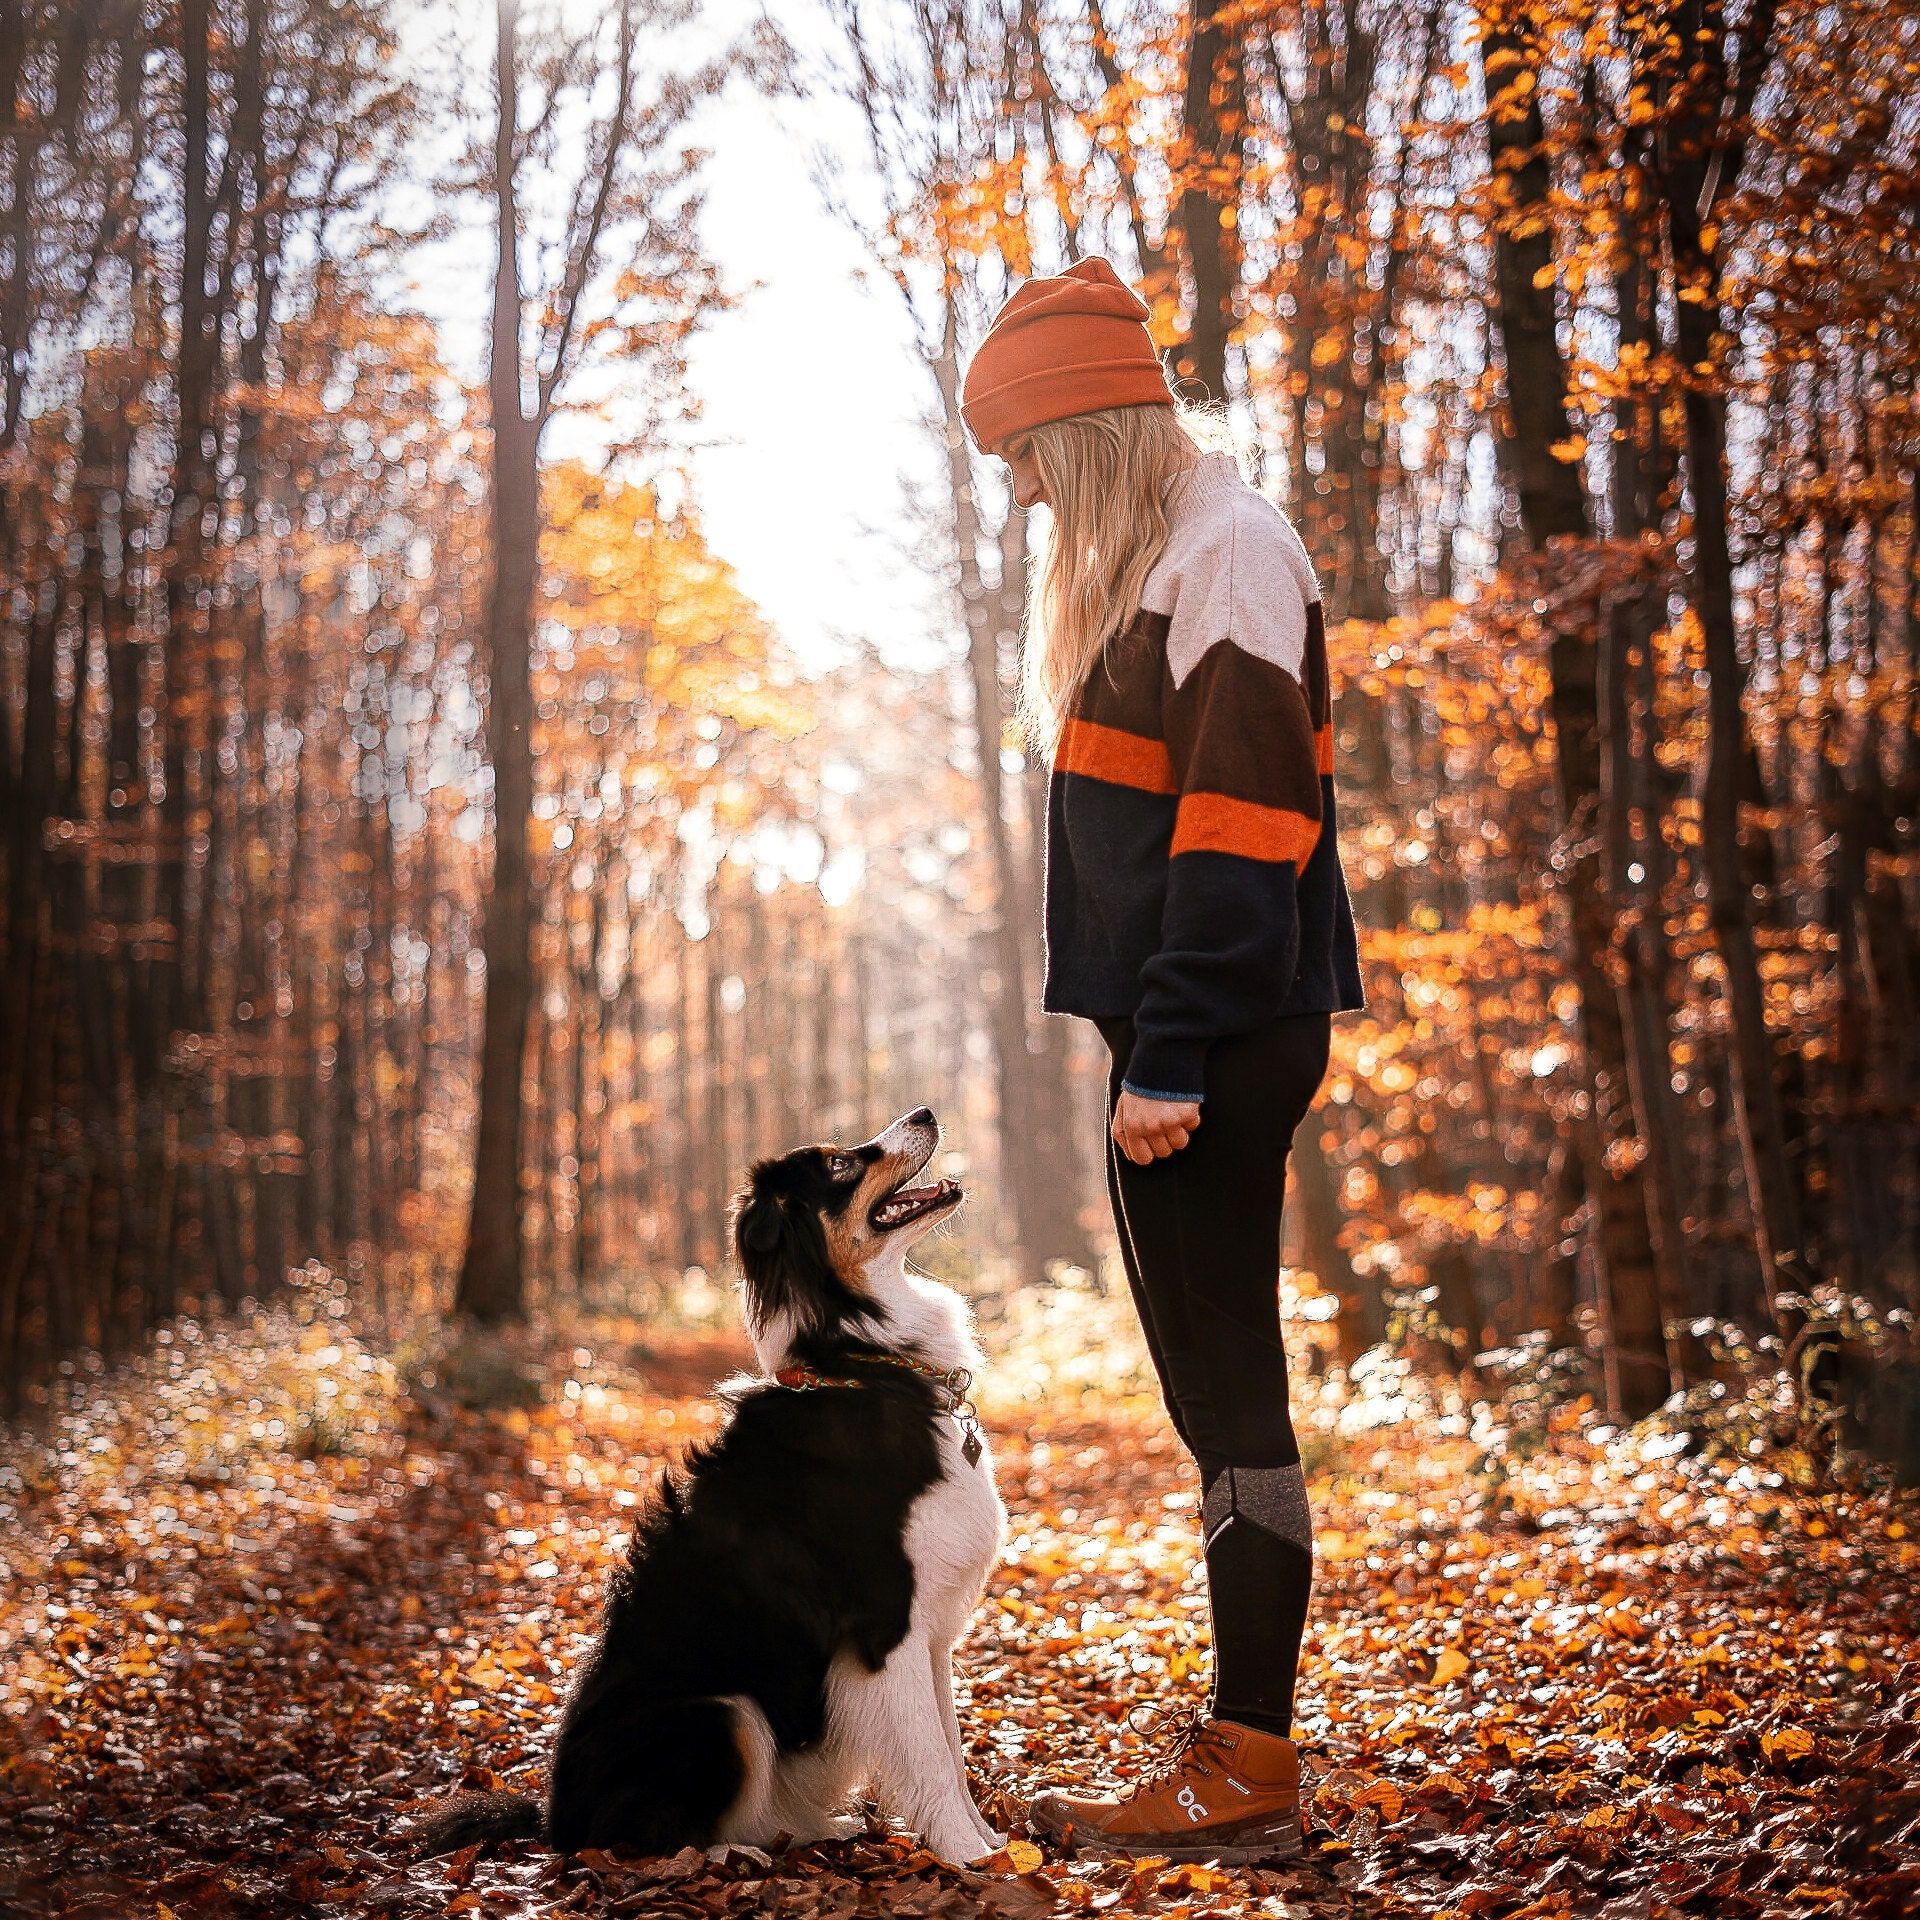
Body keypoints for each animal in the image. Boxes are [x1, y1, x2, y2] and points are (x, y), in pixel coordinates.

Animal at [414, 1113, 1013, 1858]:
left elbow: (952, 1749)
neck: (859, 1363)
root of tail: (554, 1821)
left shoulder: (932, 1634)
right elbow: (929, 1754)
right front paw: (970, 1856)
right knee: (640, 1839)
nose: (926, 1113)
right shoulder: (886, 1625)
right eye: (842, 1163)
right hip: (722, 1711)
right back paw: (739, 1853)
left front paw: (992, 1840)